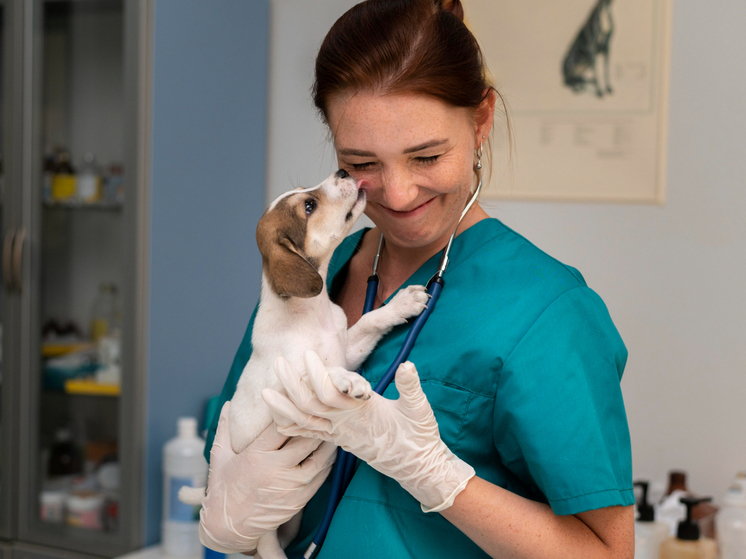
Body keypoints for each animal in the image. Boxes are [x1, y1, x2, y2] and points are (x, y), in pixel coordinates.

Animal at [180, 170, 428, 559]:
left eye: (304, 193)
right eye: (309, 206)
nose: (343, 172)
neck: (311, 313)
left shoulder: (347, 346)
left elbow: (369, 323)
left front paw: (402, 303)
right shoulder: (283, 388)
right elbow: (320, 374)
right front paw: (349, 383)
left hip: (290, 523)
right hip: (262, 527)